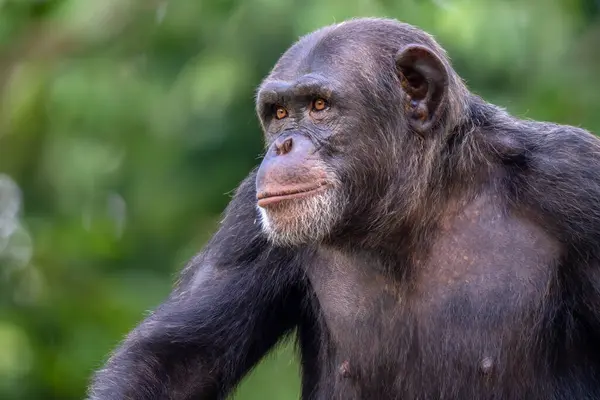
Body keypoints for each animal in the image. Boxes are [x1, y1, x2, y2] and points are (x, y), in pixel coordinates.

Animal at [86, 18, 600, 400]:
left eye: (318, 106)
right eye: (278, 113)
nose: (282, 146)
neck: (417, 205)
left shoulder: (577, 180)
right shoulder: (246, 224)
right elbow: (175, 359)